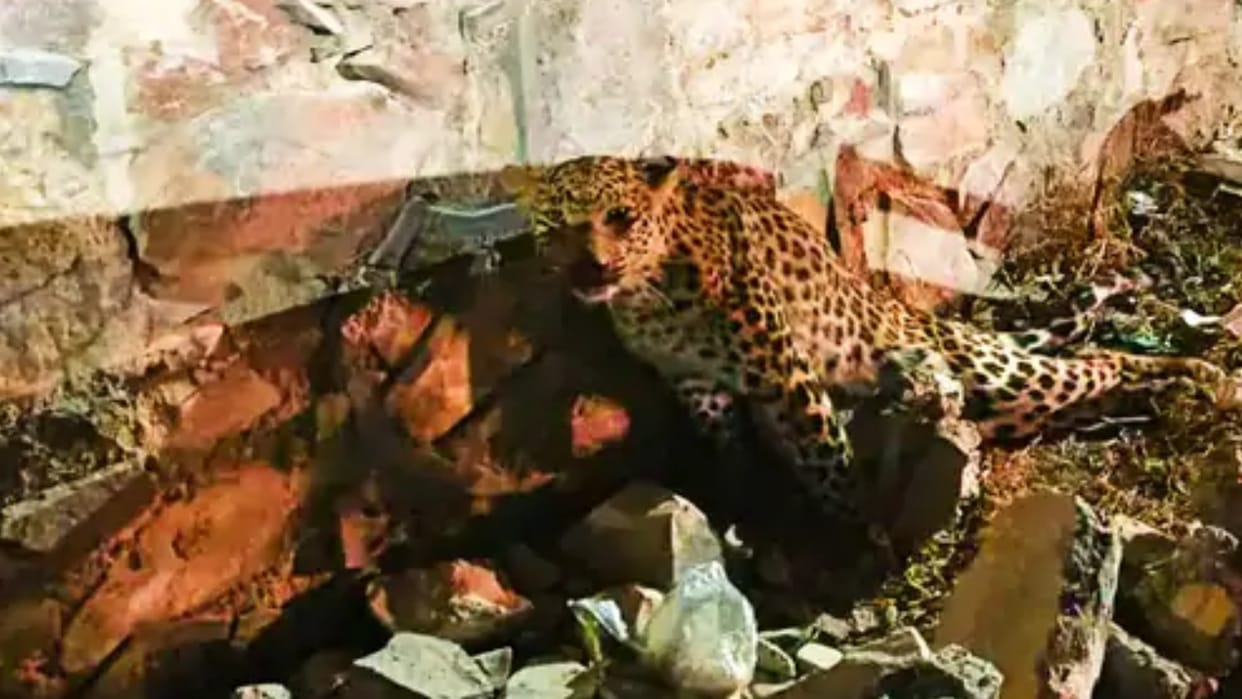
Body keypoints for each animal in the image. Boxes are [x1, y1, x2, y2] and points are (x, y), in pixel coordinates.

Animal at [499, 154, 1242, 533]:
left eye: (622, 218)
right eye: (559, 226)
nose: (591, 268)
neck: (647, 297)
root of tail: (903, 310)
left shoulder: (785, 372)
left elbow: (830, 461)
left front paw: (857, 543)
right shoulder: (698, 385)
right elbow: (732, 451)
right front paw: (745, 507)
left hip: (993, 373)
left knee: (1098, 362)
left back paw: (1204, 377)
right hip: (998, 397)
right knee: (1080, 386)